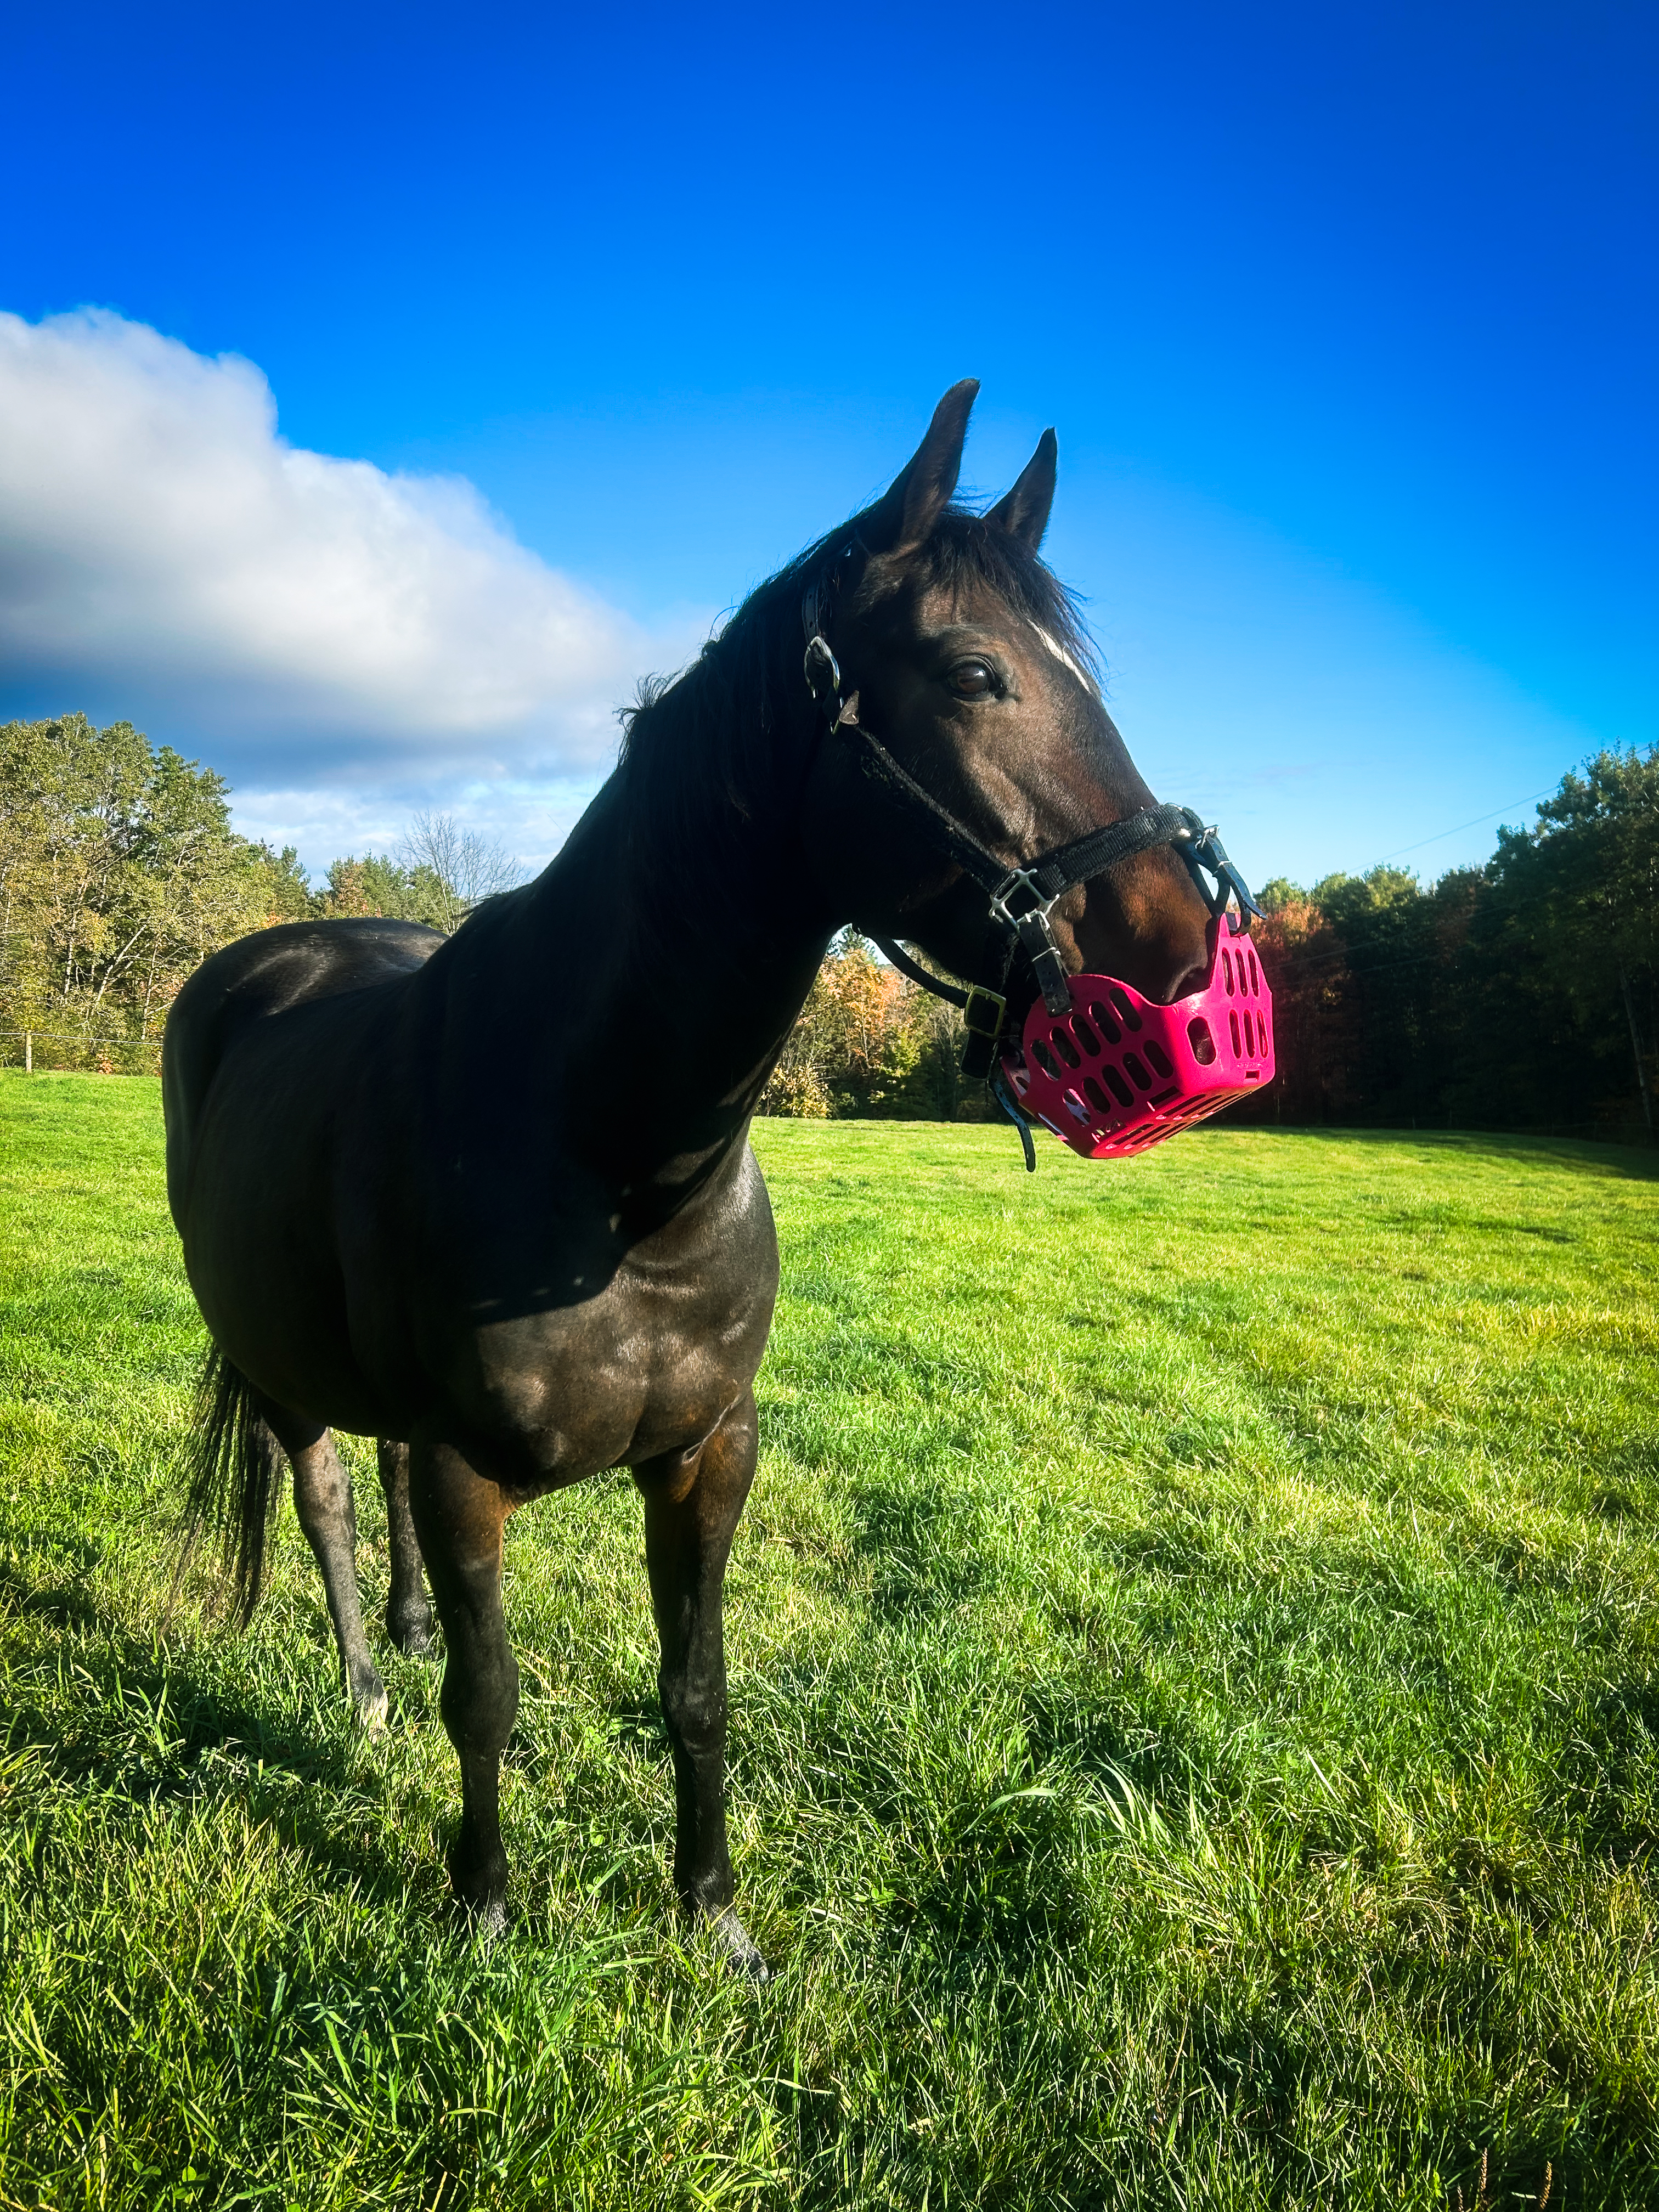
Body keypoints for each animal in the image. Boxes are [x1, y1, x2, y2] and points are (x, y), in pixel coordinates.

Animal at [164, 382, 1222, 1973]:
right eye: (976, 673)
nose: (1188, 946)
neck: (620, 1171)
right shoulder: (478, 1476)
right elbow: (489, 1697)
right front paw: (483, 1904)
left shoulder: (710, 1453)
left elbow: (697, 1692)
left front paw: (714, 1916)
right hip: (276, 1364)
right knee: (333, 1495)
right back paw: (364, 1686)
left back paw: (399, 1641)